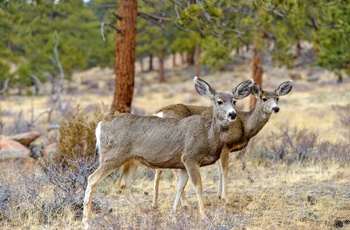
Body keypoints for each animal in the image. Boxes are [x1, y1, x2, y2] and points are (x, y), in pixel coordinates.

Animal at [82, 76, 254, 227]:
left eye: (234, 101)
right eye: (219, 101)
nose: (232, 114)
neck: (208, 136)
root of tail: (99, 126)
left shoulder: (182, 164)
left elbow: (180, 187)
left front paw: (173, 214)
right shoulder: (190, 157)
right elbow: (197, 186)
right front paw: (204, 216)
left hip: (131, 160)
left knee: (123, 183)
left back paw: (146, 214)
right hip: (113, 156)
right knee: (92, 178)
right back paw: (86, 221)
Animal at [150, 80, 292, 210]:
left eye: (277, 98)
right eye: (264, 98)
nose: (276, 108)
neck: (244, 126)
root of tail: (158, 114)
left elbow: (218, 170)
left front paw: (218, 195)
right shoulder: (225, 146)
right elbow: (224, 170)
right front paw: (225, 198)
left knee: (159, 170)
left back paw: (155, 203)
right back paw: (185, 203)